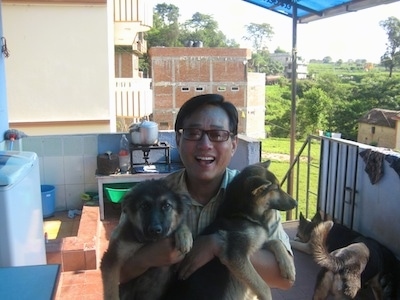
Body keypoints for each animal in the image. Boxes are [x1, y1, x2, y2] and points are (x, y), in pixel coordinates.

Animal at [164, 162, 298, 300]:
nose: (296, 203)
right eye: (276, 189)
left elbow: (276, 241)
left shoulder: (257, 243)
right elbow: (264, 286)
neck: (240, 214)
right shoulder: (235, 255)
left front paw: (288, 267)